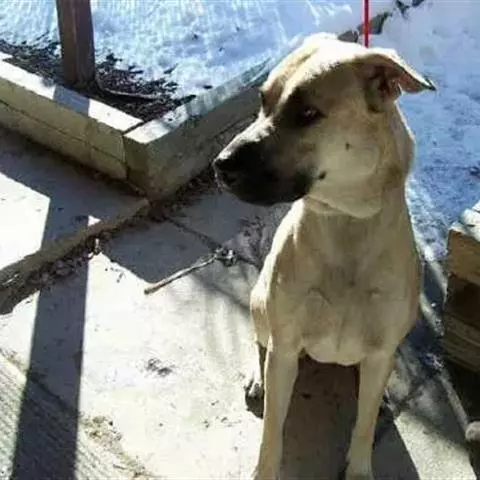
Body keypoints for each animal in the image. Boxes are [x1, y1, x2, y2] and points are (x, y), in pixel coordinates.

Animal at [213, 33, 435, 480]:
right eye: (262, 100)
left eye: (308, 113)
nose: (220, 165)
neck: (346, 222)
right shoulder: (284, 348)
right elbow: (272, 432)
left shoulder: (380, 351)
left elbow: (363, 427)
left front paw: (360, 468)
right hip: (260, 304)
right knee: (261, 342)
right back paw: (257, 378)